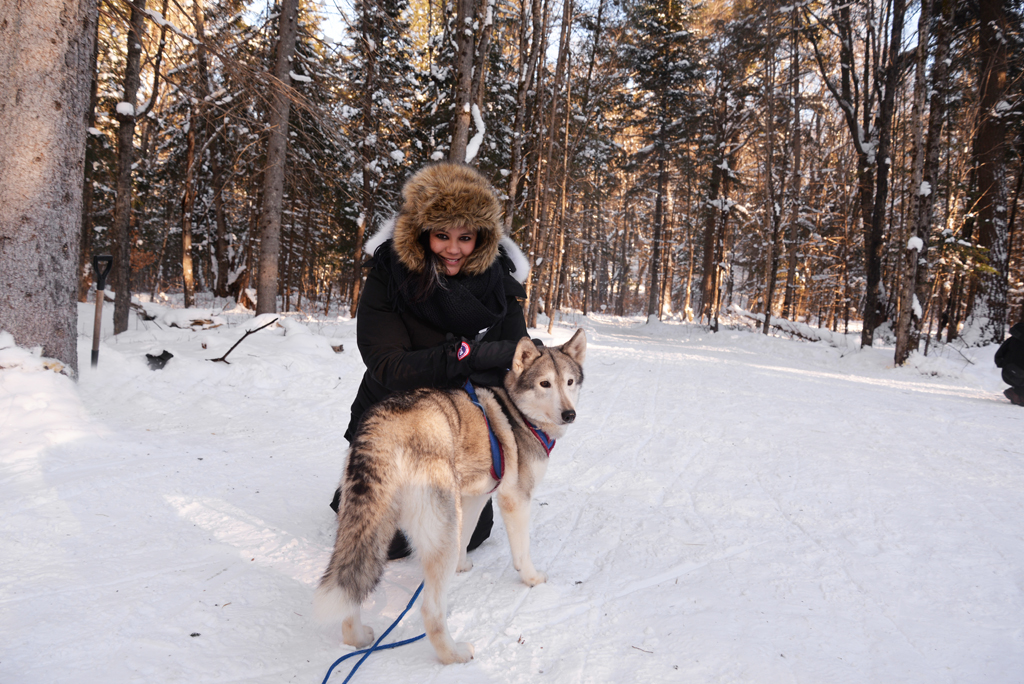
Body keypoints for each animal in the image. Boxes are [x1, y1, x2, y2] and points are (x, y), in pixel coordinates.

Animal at [313, 327, 585, 663]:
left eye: (569, 382)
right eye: (544, 384)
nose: (569, 414)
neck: (518, 412)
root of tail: (384, 429)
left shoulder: (474, 497)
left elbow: (466, 535)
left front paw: (461, 567)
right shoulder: (516, 499)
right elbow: (522, 553)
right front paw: (531, 579)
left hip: (371, 523)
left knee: (355, 583)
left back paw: (357, 637)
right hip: (436, 526)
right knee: (431, 610)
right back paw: (454, 655)